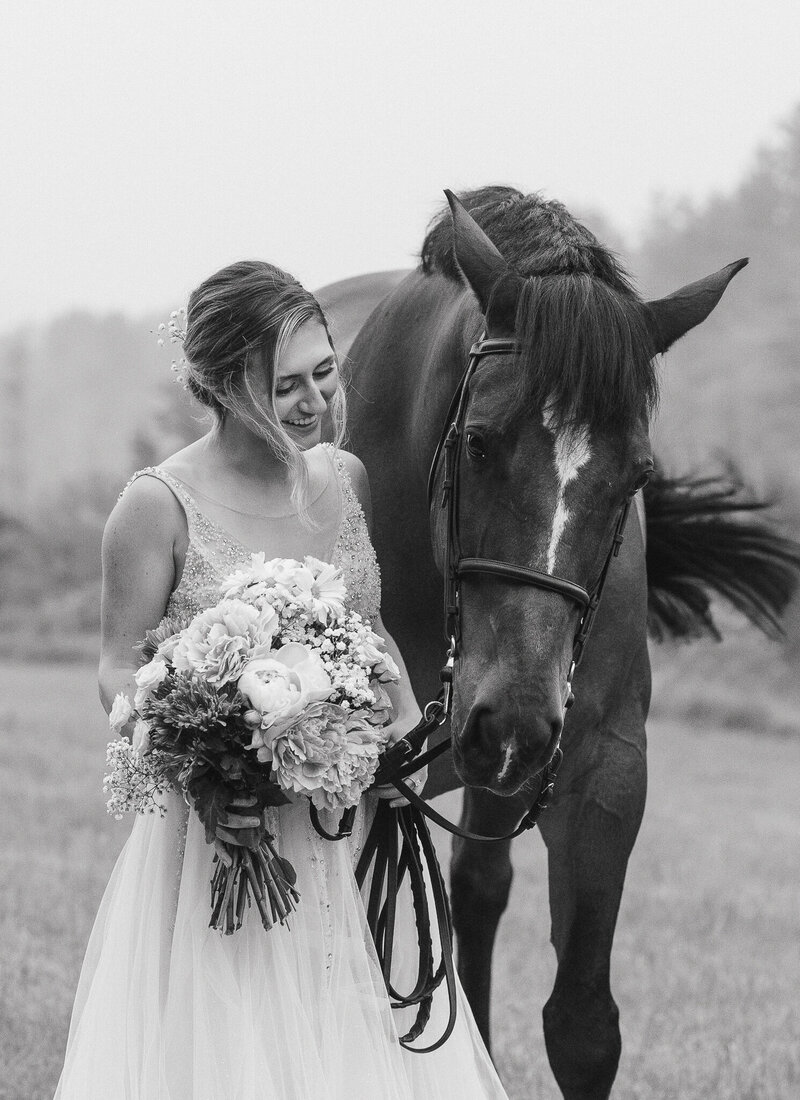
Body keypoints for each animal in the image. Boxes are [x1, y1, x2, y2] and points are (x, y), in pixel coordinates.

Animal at [316, 189, 796, 1100]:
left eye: (638, 474)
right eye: (477, 441)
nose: (513, 720)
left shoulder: (603, 772)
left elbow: (582, 1025)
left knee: (477, 890)